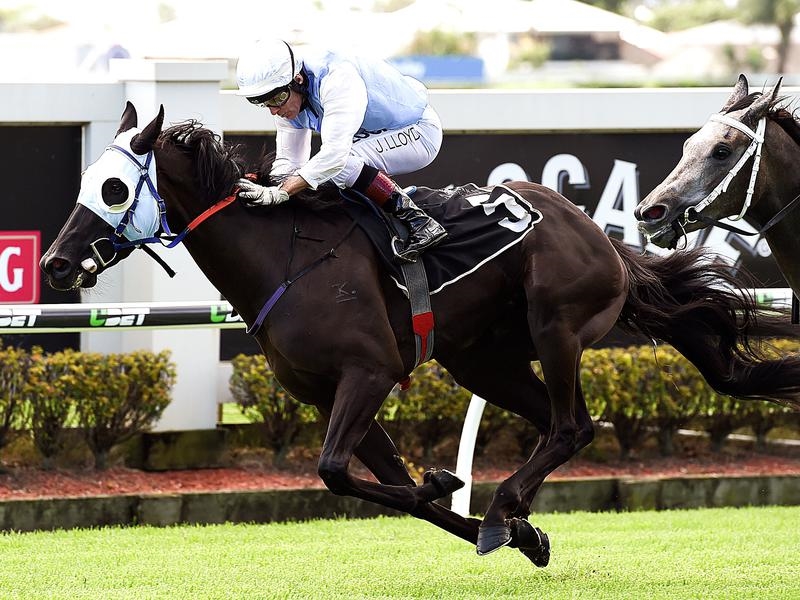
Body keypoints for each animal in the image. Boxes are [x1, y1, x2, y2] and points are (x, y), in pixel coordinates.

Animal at [41, 102, 800, 566]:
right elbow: (374, 483)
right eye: (88, 179)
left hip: (556, 324)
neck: (283, 256)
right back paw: (508, 511)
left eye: (113, 188)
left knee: (572, 425)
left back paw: (503, 504)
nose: (54, 264)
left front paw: (457, 489)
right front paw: (513, 528)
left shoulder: (369, 372)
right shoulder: (329, 393)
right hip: (483, 361)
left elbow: (340, 472)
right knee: (555, 424)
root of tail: (600, 235)